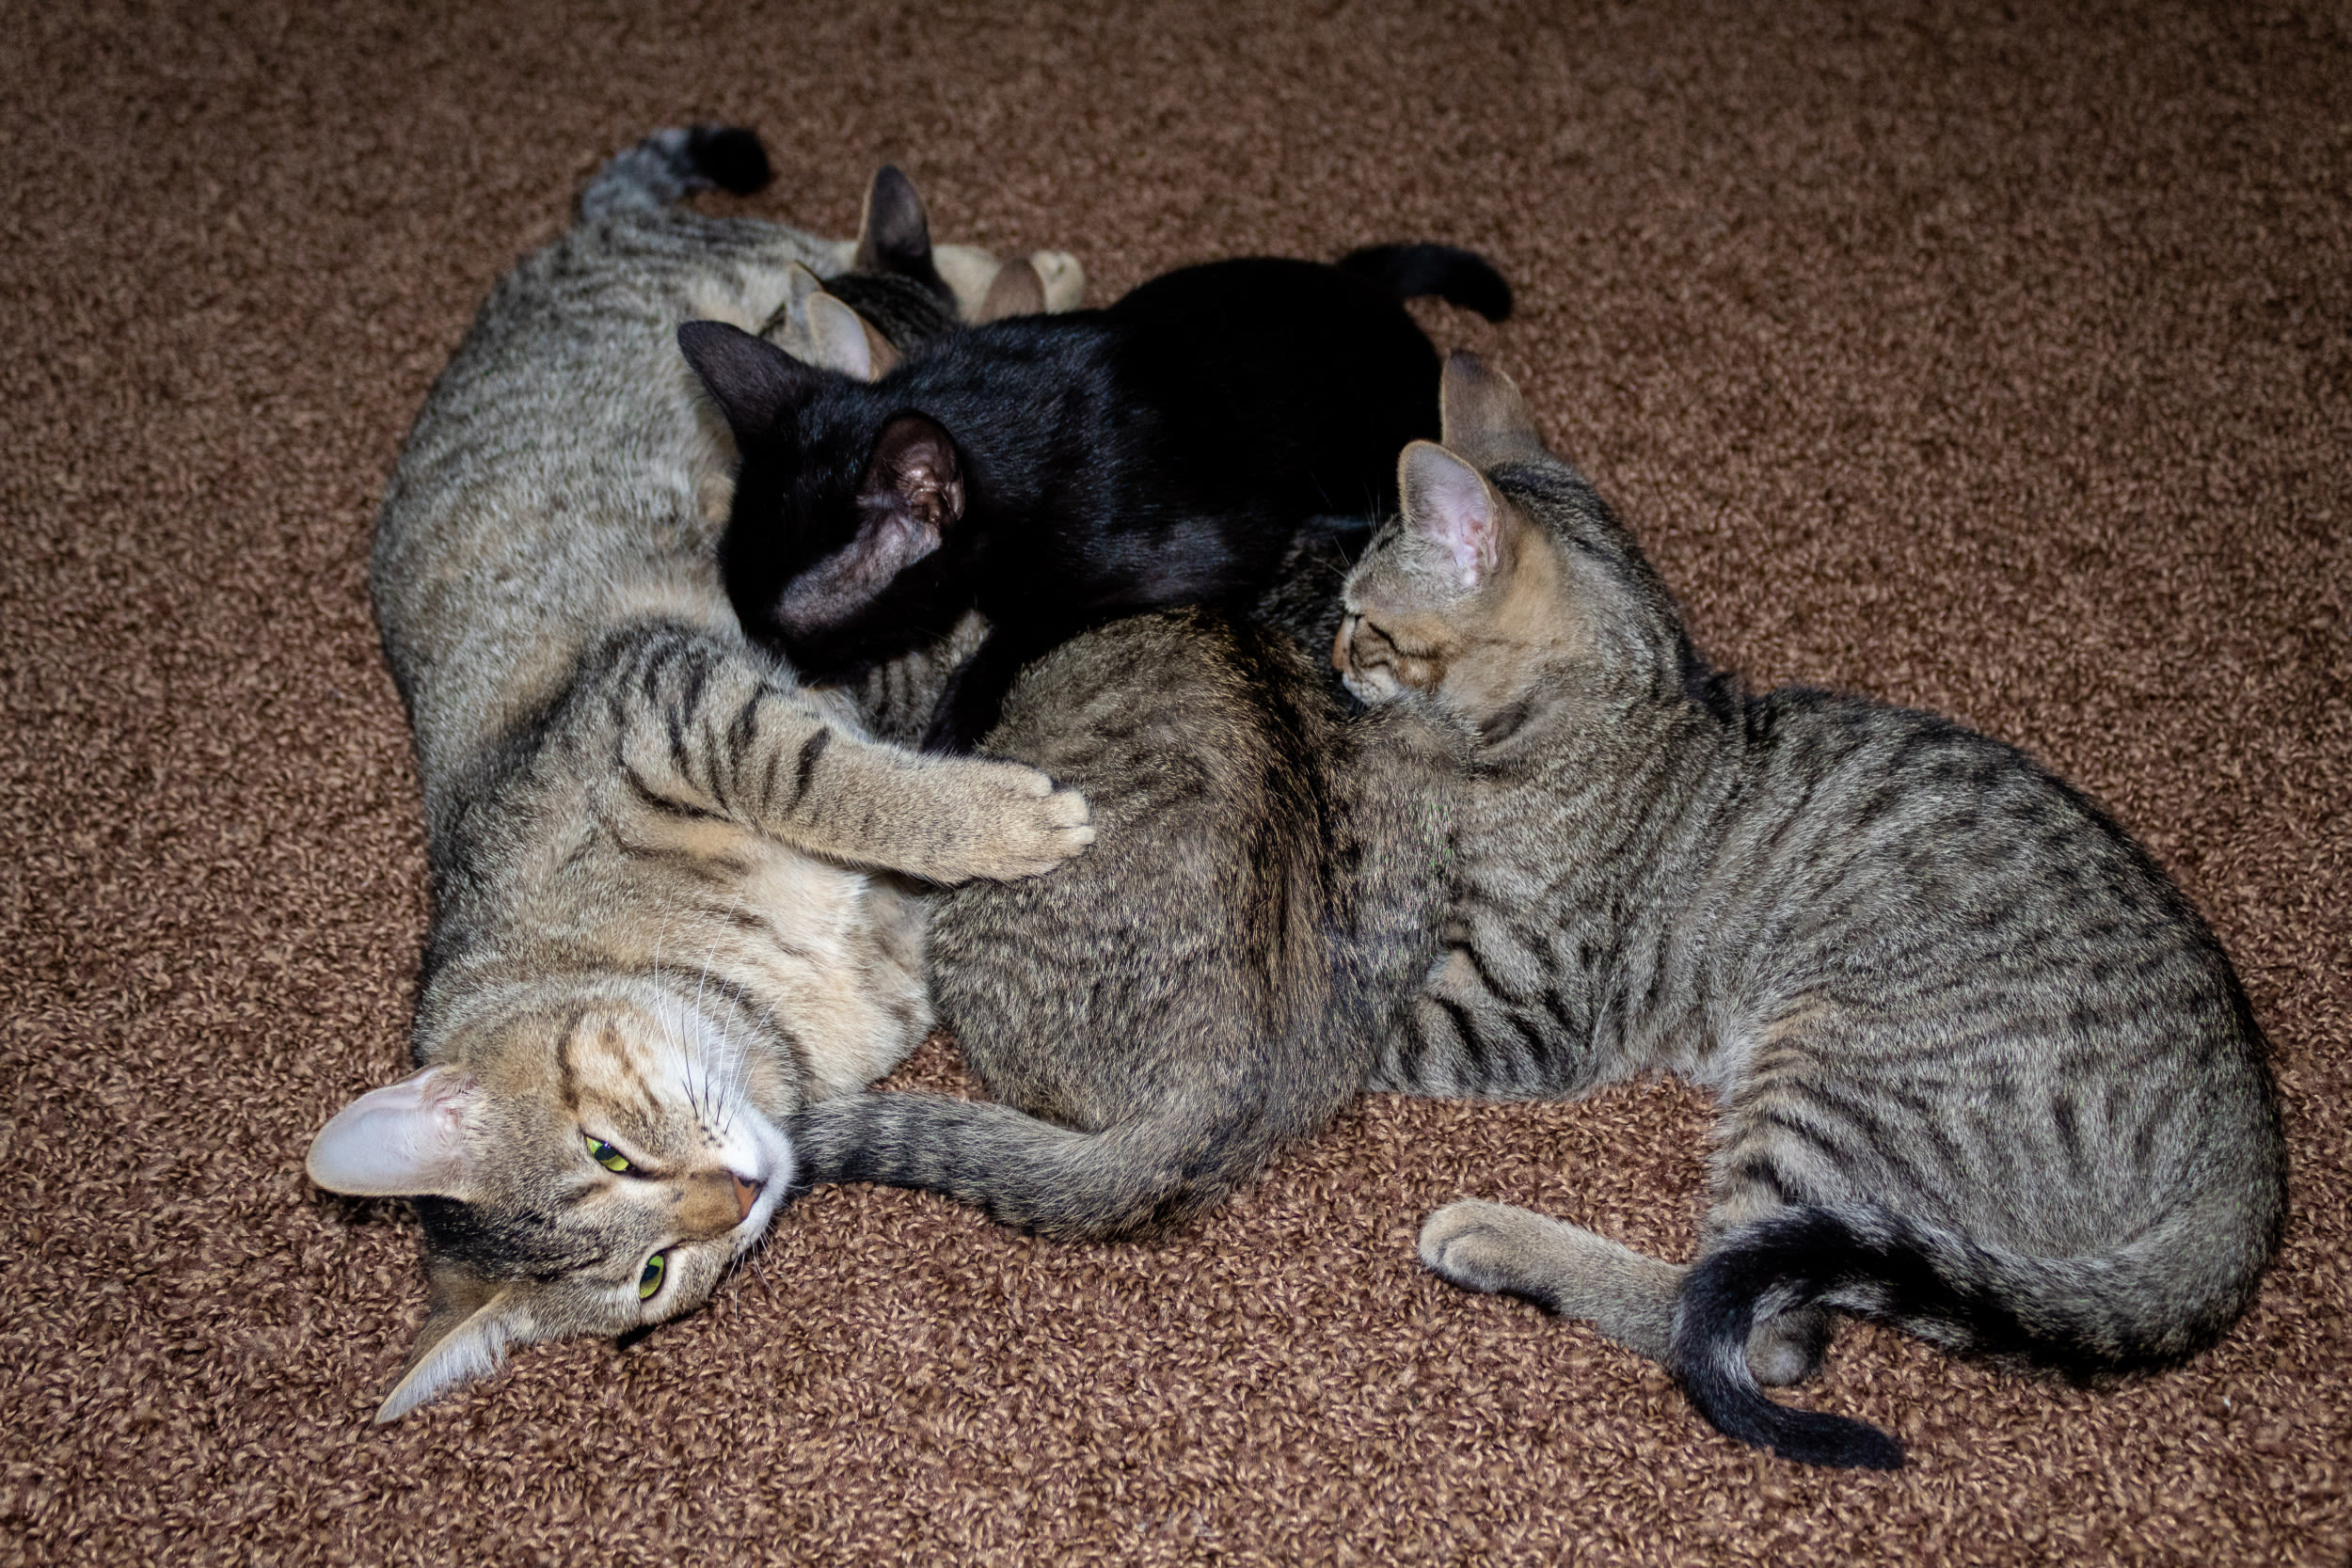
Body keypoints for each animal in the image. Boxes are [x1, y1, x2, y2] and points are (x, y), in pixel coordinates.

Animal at [301, 125, 1091, 1419]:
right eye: (653, 1276)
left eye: (606, 1148)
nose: (734, 1194)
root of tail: (581, 229)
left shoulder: (681, 705)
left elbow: (834, 778)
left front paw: (995, 818)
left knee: (861, 261)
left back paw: (1038, 279)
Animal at [1336, 352, 2286, 1476]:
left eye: (1364, 616)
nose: (1332, 651)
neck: (1609, 707)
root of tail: (2249, 1160)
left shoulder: (1524, 1005)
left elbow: (1353, 1011)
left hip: (1829, 1073)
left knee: (1757, 1325)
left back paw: (1500, 1236)